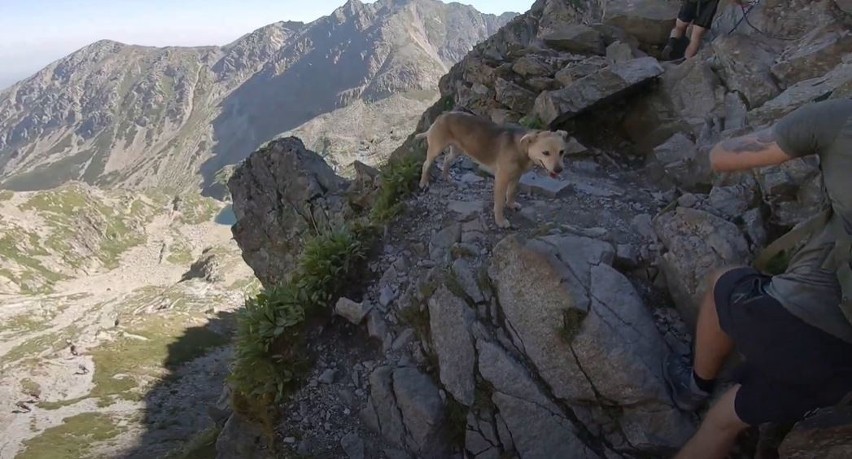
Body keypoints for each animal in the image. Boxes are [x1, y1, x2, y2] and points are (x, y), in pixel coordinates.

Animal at [416, 112, 568, 230]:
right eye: (545, 153)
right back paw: (423, 183)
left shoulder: (516, 176)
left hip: (457, 151)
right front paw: (500, 221)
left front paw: (511, 205)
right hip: (436, 149)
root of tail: (442, 116)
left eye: (562, 152)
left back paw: (446, 176)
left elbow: (511, 193)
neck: (521, 148)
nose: (559, 169)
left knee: (447, 159)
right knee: (426, 164)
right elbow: (499, 203)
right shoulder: (501, 179)